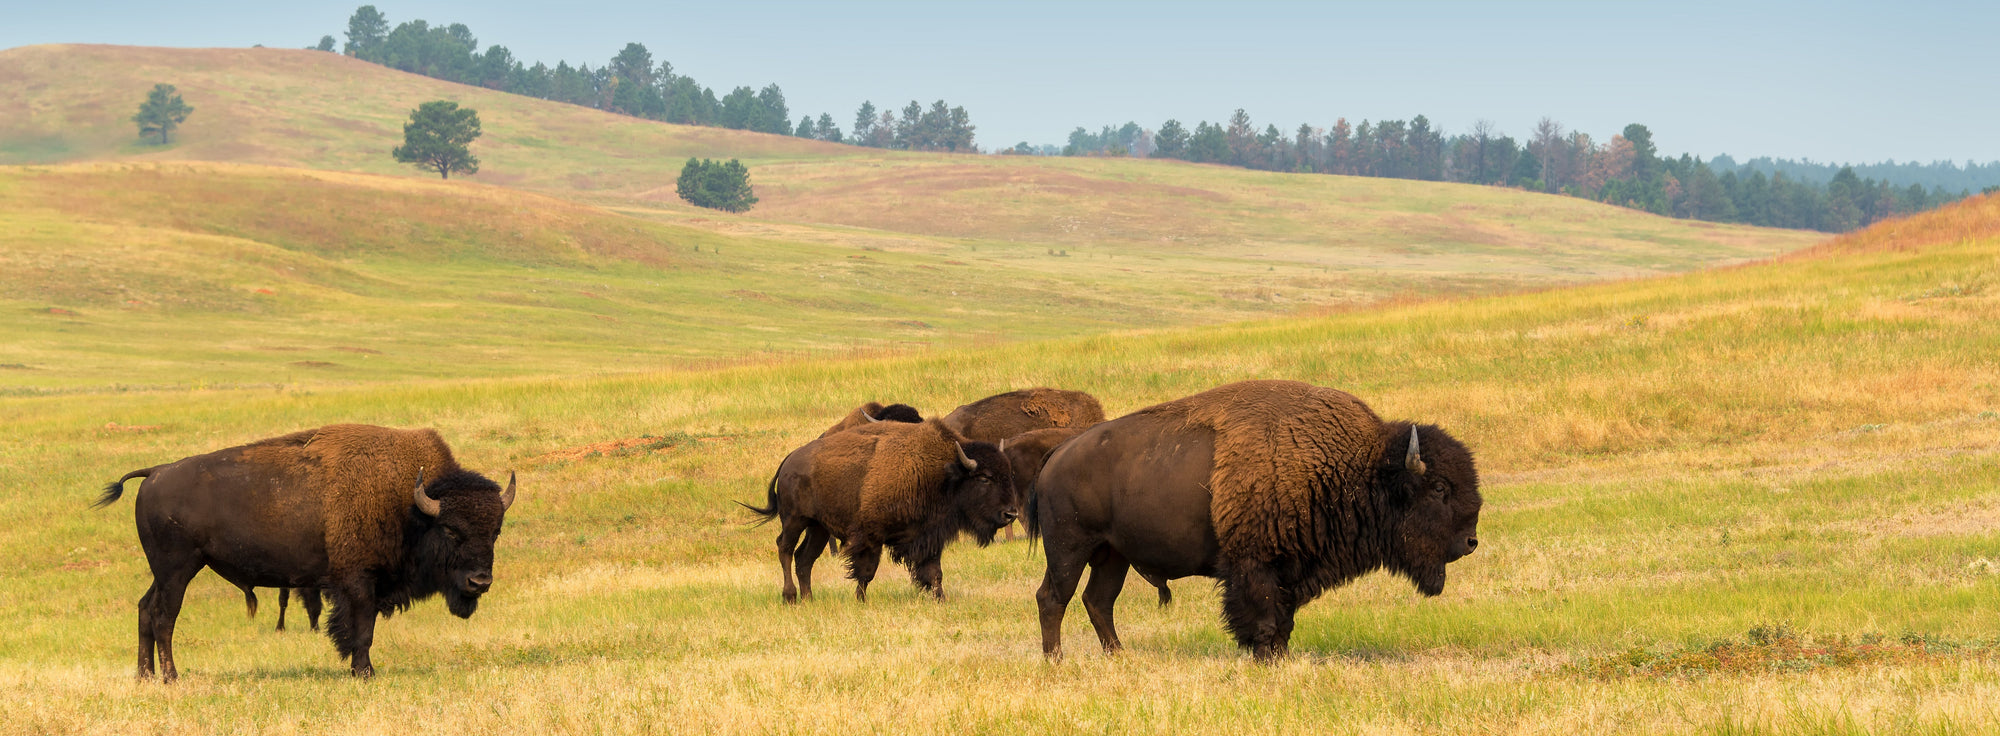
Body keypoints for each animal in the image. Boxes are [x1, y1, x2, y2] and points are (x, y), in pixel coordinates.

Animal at [95, 424, 516, 680]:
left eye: (495, 531)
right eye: (451, 529)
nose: (479, 582)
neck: (410, 504)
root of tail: (155, 472)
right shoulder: (358, 582)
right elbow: (362, 630)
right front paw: (365, 673)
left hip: (165, 572)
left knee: (145, 610)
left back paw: (145, 677)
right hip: (177, 570)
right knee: (164, 617)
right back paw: (170, 677)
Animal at [741, 418, 1017, 603]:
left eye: (1008, 474)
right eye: (984, 478)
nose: (1011, 514)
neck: (943, 473)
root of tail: (789, 460)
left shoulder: (928, 537)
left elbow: (934, 572)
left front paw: (941, 599)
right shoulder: (870, 536)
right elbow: (866, 572)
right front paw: (860, 600)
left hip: (818, 528)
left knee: (804, 558)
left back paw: (809, 599)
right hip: (794, 520)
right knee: (785, 549)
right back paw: (790, 597)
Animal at [1030, 380, 1481, 660]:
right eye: (1439, 488)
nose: (1470, 541)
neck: (1355, 465)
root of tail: (1059, 453)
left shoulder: (1291, 569)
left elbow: (1284, 619)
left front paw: (1280, 656)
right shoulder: (1254, 565)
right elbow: (1262, 617)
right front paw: (1265, 657)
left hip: (1113, 555)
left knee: (1098, 601)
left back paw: (1119, 656)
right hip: (1069, 548)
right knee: (1053, 597)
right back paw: (1056, 661)